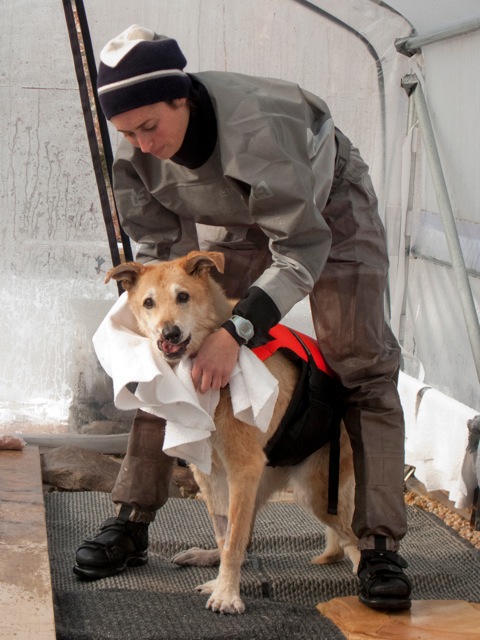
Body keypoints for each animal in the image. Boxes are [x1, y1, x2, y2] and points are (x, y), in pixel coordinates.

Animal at [106, 251, 360, 616]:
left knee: (352, 538)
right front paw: (221, 583)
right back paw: (207, 558)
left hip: (315, 492)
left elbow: (234, 538)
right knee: (246, 536)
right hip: (260, 483)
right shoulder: (211, 473)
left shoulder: (242, 468)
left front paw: (227, 595)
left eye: (183, 297)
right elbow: (227, 536)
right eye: (148, 303)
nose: (169, 334)